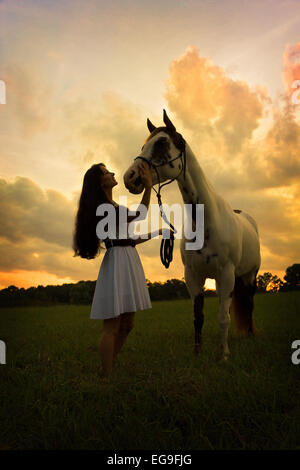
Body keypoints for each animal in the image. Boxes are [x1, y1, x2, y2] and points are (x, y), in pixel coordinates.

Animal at [123, 110, 260, 360]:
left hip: (249, 276)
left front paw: (224, 355)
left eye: (162, 143)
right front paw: (198, 353)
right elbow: (198, 317)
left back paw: (250, 336)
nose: (130, 177)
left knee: (249, 305)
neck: (206, 223)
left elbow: (223, 318)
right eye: (144, 145)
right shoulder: (193, 276)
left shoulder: (227, 274)